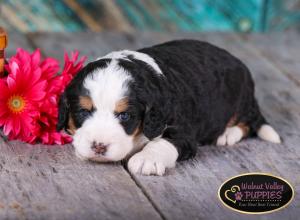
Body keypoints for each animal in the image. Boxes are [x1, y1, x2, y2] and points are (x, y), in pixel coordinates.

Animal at [56, 39, 282, 176]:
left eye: (125, 116)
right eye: (83, 112)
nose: (99, 146)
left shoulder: (183, 131)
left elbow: (163, 142)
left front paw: (146, 159)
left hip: (241, 98)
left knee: (248, 122)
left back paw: (228, 134)